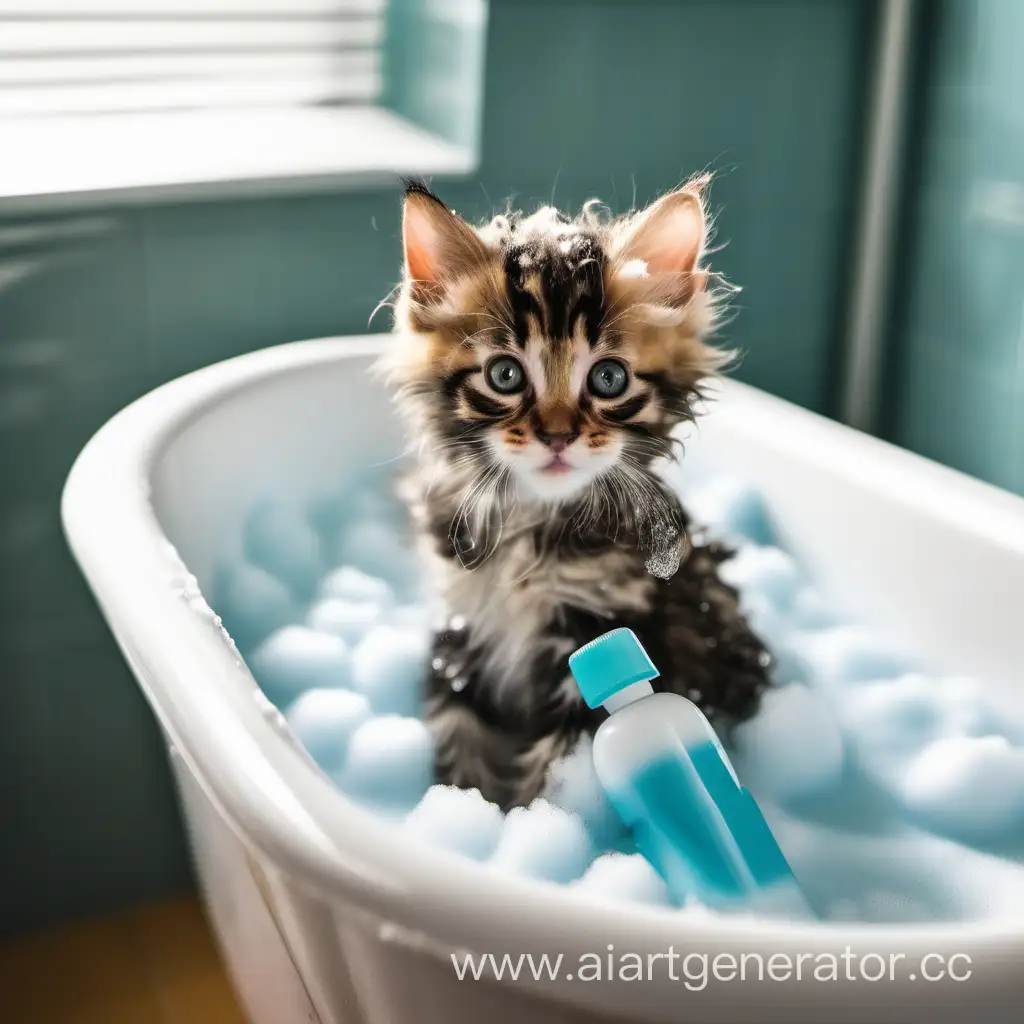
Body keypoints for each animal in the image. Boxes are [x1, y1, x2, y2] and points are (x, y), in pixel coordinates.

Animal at [380, 180, 770, 811]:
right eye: (505, 375)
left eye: (608, 379)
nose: (558, 436)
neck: (530, 524)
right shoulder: (463, 626)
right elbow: (460, 734)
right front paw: (462, 809)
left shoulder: (600, 633)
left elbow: (554, 770)